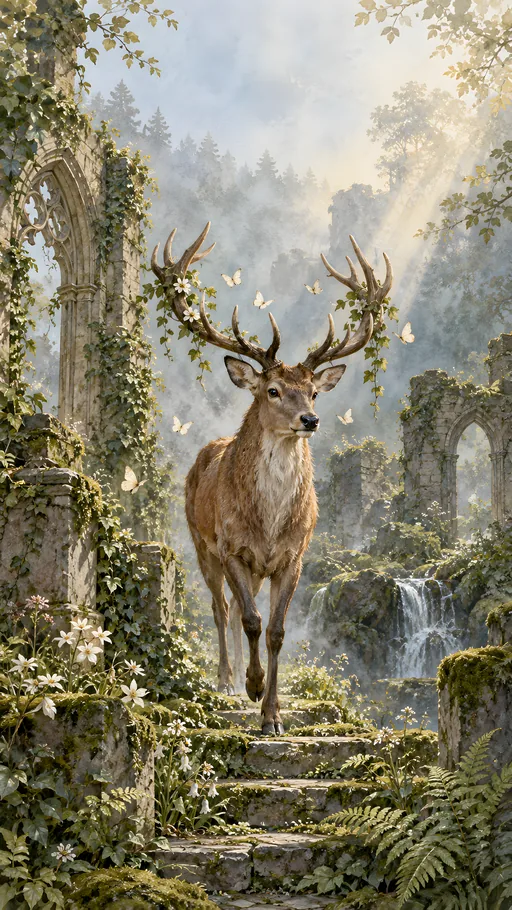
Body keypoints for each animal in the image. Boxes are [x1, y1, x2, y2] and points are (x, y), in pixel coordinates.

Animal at [151, 223, 392, 734]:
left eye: (315, 391)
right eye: (273, 390)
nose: (310, 420)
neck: (268, 524)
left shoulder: (293, 556)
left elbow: (277, 630)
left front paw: (272, 714)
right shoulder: (232, 548)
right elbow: (250, 620)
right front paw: (253, 686)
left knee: (240, 611)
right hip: (200, 544)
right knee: (222, 609)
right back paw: (226, 679)